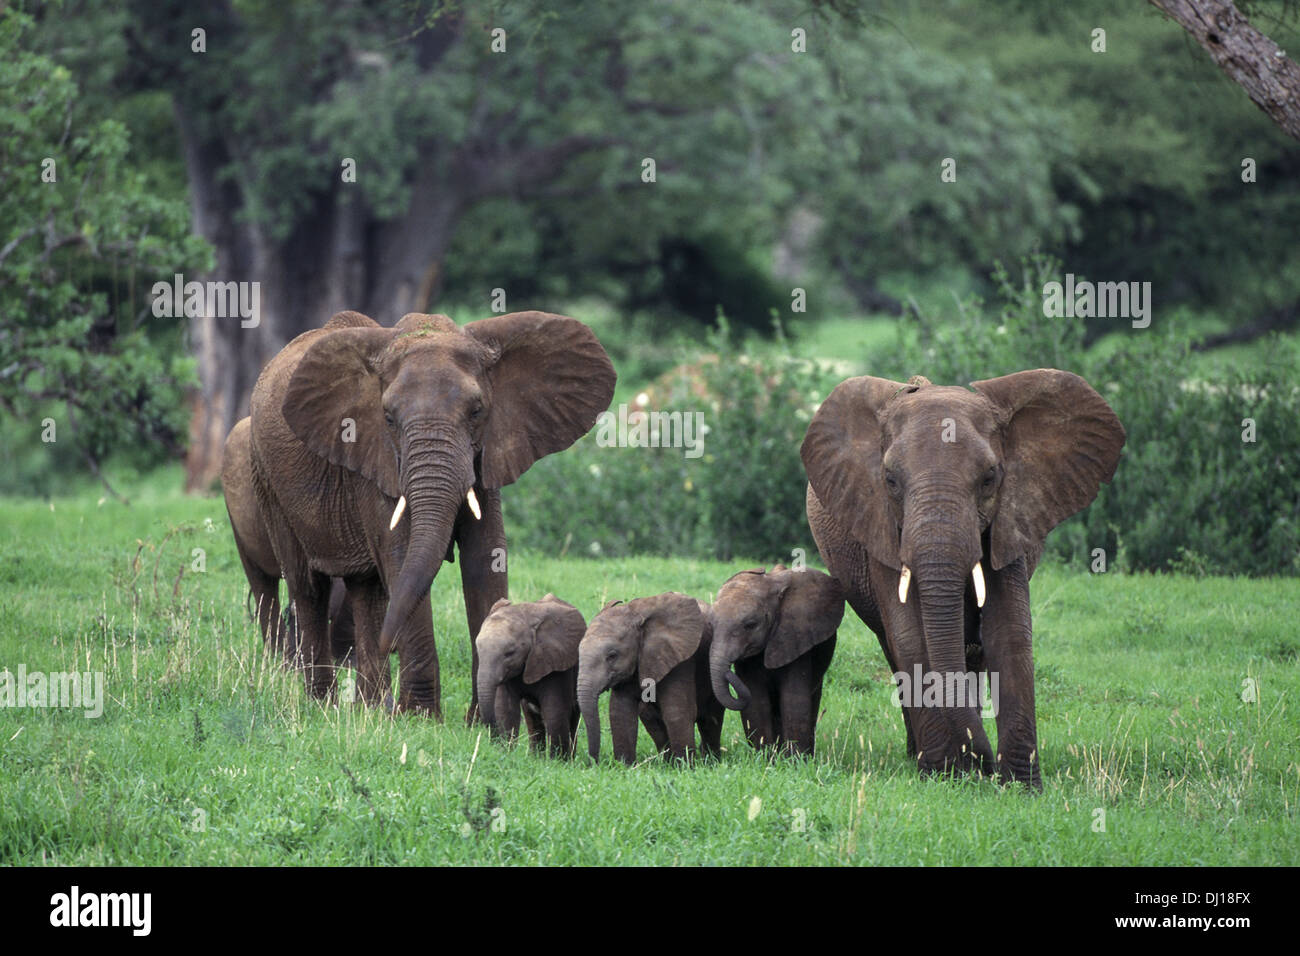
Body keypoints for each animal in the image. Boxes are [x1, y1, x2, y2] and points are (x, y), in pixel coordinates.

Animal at [246, 308, 615, 717]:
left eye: (477, 411)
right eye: (388, 418)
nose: (389, 644)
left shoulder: (486, 456)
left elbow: (485, 559)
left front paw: (482, 722)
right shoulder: (374, 458)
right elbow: (402, 553)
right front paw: (420, 718)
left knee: (367, 589)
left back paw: (369, 709)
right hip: (265, 477)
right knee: (309, 586)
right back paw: (325, 706)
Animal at [475, 594, 585, 757]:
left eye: (510, 653)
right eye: (478, 649)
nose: (493, 743)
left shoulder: (557, 664)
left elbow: (555, 713)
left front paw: (558, 762)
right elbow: (506, 710)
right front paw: (506, 754)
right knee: (532, 717)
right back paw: (536, 758)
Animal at [577, 593, 723, 764]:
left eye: (612, 656)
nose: (593, 762)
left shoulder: (680, 660)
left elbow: (676, 711)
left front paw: (685, 766)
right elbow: (620, 712)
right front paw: (625, 766)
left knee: (711, 719)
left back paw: (711, 761)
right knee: (650, 718)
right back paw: (668, 763)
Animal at [709, 565, 844, 756]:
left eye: (750, 625)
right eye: (711, 625)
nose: (728, 672)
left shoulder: (796, 635)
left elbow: (793, 699)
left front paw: (795, 759)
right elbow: (756, 700)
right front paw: (765, 757)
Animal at [801, 369, 1125, 789]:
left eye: (989, 478)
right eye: (889, 480)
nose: (983, 767)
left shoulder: (1011, 520)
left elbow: (1009, 630)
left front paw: (1021, 785)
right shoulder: (880, 523)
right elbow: (910, 634)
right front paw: (945, 774)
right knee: (895, 647)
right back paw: (920, 755)